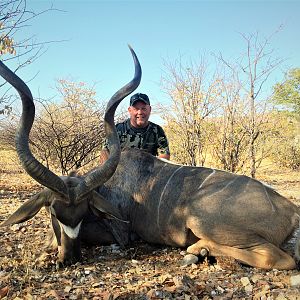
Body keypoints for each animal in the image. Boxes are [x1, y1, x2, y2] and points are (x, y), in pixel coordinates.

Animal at [0, 47, 300, 270]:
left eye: (83, 212)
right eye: (53, 211)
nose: (70, 258)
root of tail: (291, 210)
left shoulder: (121, 234)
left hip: (202, 220)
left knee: (281, 258)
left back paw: (197, 249)